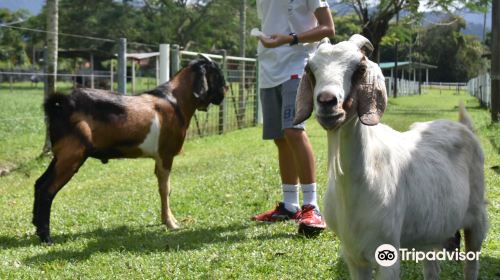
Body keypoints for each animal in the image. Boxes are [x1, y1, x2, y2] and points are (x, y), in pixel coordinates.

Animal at [35, 56, 229, 243]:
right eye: (217, 74)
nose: (226, 88)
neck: (175, 101)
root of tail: (61, 104)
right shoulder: (165, 155)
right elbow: (165, 189)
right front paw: (171, 223)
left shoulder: (159, 158)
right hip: (71, 155)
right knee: (47, 189)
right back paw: (46, 237)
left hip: (60, 155)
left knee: (39, 183)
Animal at [292, 35, 488, 280]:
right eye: (310, 68)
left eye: (360, 68)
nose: (327, 102)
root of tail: (462, 126)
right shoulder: (352, 255)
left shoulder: (387, 251)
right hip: (431, 232)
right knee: (431, 268)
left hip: (477, 218)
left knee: (472, 263)